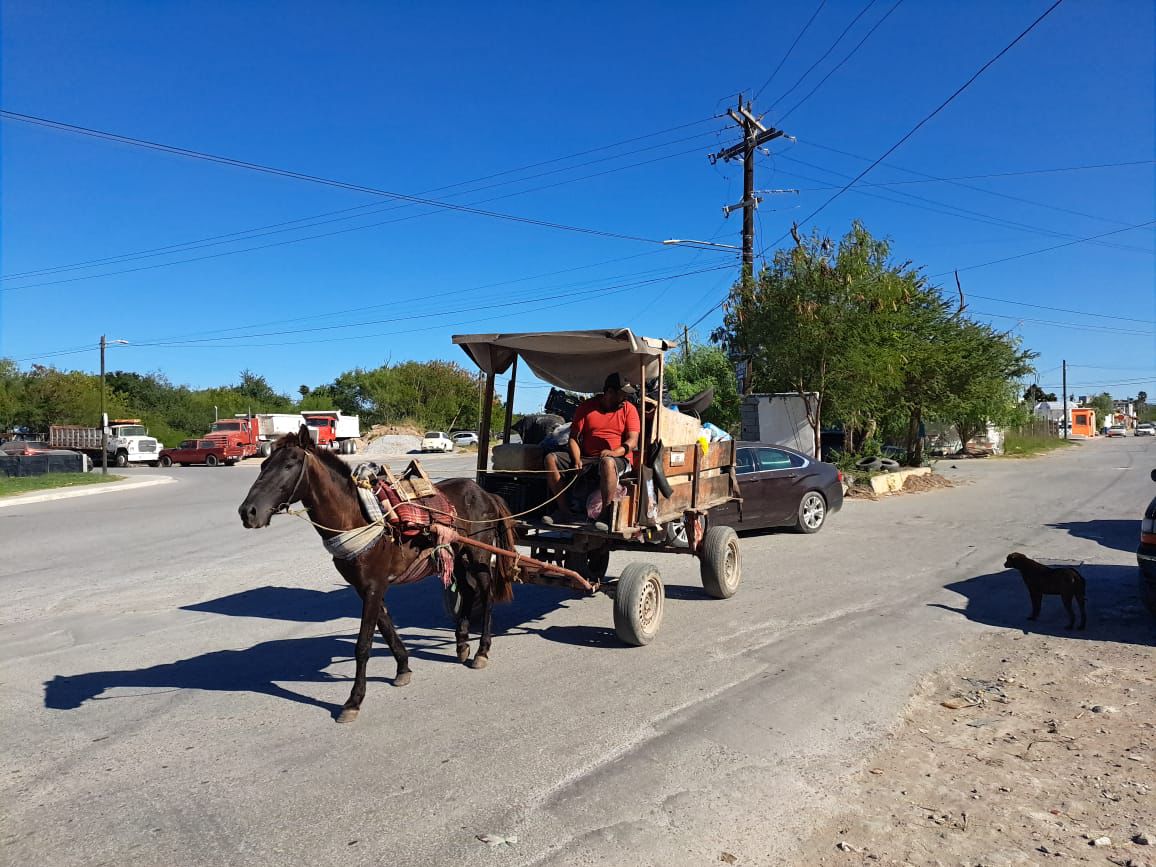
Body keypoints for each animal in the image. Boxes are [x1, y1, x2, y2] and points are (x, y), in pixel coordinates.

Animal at [236, 425, 517, 721]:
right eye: (264, 464)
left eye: (289, 464)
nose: (248, 512)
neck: (358, 518)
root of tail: (484, 492)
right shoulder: (366, 587)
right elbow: (387, 628)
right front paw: (403, 668)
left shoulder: (373, 586)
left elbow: (363, 645)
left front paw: (353, 700)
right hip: (459, 556)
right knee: (468, 591)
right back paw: (462, 645)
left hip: (478, 555)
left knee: (486, 595)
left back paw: (482, 650)